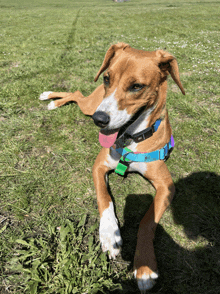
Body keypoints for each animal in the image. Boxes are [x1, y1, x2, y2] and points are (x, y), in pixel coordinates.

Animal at [39, 42, 184, 292]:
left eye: (137, 86)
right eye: (107, 78)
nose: (99, 120)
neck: (131, 139)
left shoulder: (167, 186)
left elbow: (148, 221)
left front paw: (145, 267)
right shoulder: (99, 166)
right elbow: (104, 198)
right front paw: (109, 234)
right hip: (90, 105)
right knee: (76, 94)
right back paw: (51, 98)